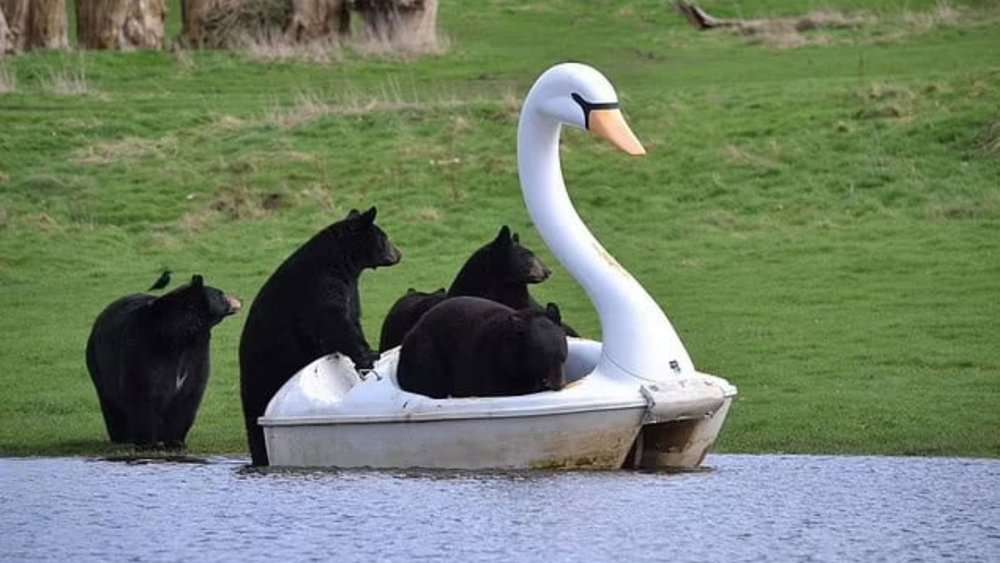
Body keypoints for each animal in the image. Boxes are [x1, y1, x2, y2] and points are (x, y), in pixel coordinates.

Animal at [85, 274, 241, 448]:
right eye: (221, 294)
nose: (237, 300)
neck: (182, 336)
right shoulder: (145, 351)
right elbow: (142, 393)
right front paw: (147, 442)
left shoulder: (196, 355)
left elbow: (189, 394)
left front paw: (176, 441)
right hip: (98, 362)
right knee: (110, 401)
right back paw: (121, 437)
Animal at [239, 206, 401, 466]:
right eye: (384, 237)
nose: (398, 254)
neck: (342, 262)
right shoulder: (321, 286)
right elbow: (333, 322)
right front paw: (367, 356)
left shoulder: (349, 289)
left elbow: (352, 318)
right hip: (264, 376)